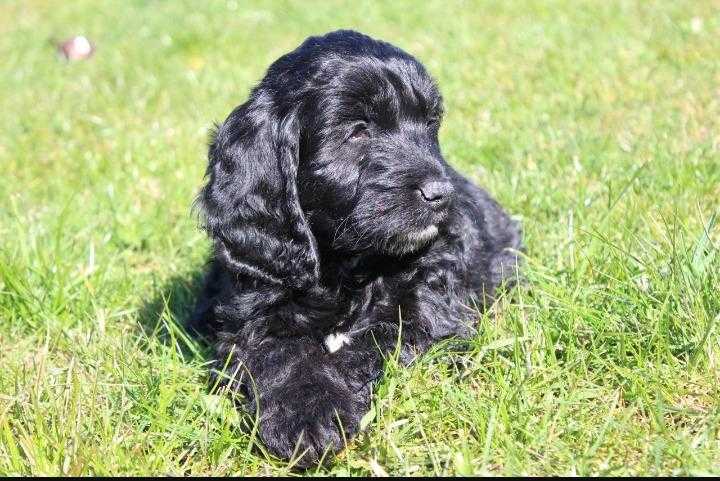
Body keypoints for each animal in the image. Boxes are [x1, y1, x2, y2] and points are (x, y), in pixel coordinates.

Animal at [190, 29, 516, 464]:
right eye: (359, 129)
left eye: (430, 125)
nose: (442, 194)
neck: (346, 266)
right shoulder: (256, 308)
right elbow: (278, 352)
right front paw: (305, 413)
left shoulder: (431, 310)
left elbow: (373, 342)